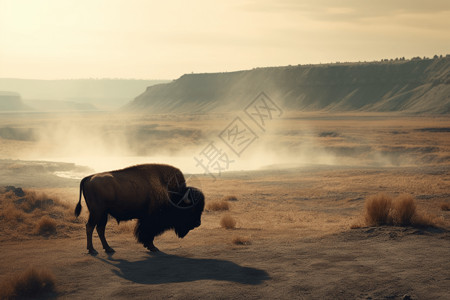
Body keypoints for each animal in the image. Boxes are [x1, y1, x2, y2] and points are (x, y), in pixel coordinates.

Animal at [74, 164, 205, 253]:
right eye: (191, 209)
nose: (198, 223)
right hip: (97, 212)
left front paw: (150, 246)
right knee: (90, 227)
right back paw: (92, 250)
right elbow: (148, 233)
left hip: (103, 214)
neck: (173, 195)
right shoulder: (150, 220)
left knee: (100, 229)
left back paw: (108, 248)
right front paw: (152, 247)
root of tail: (89, 177)